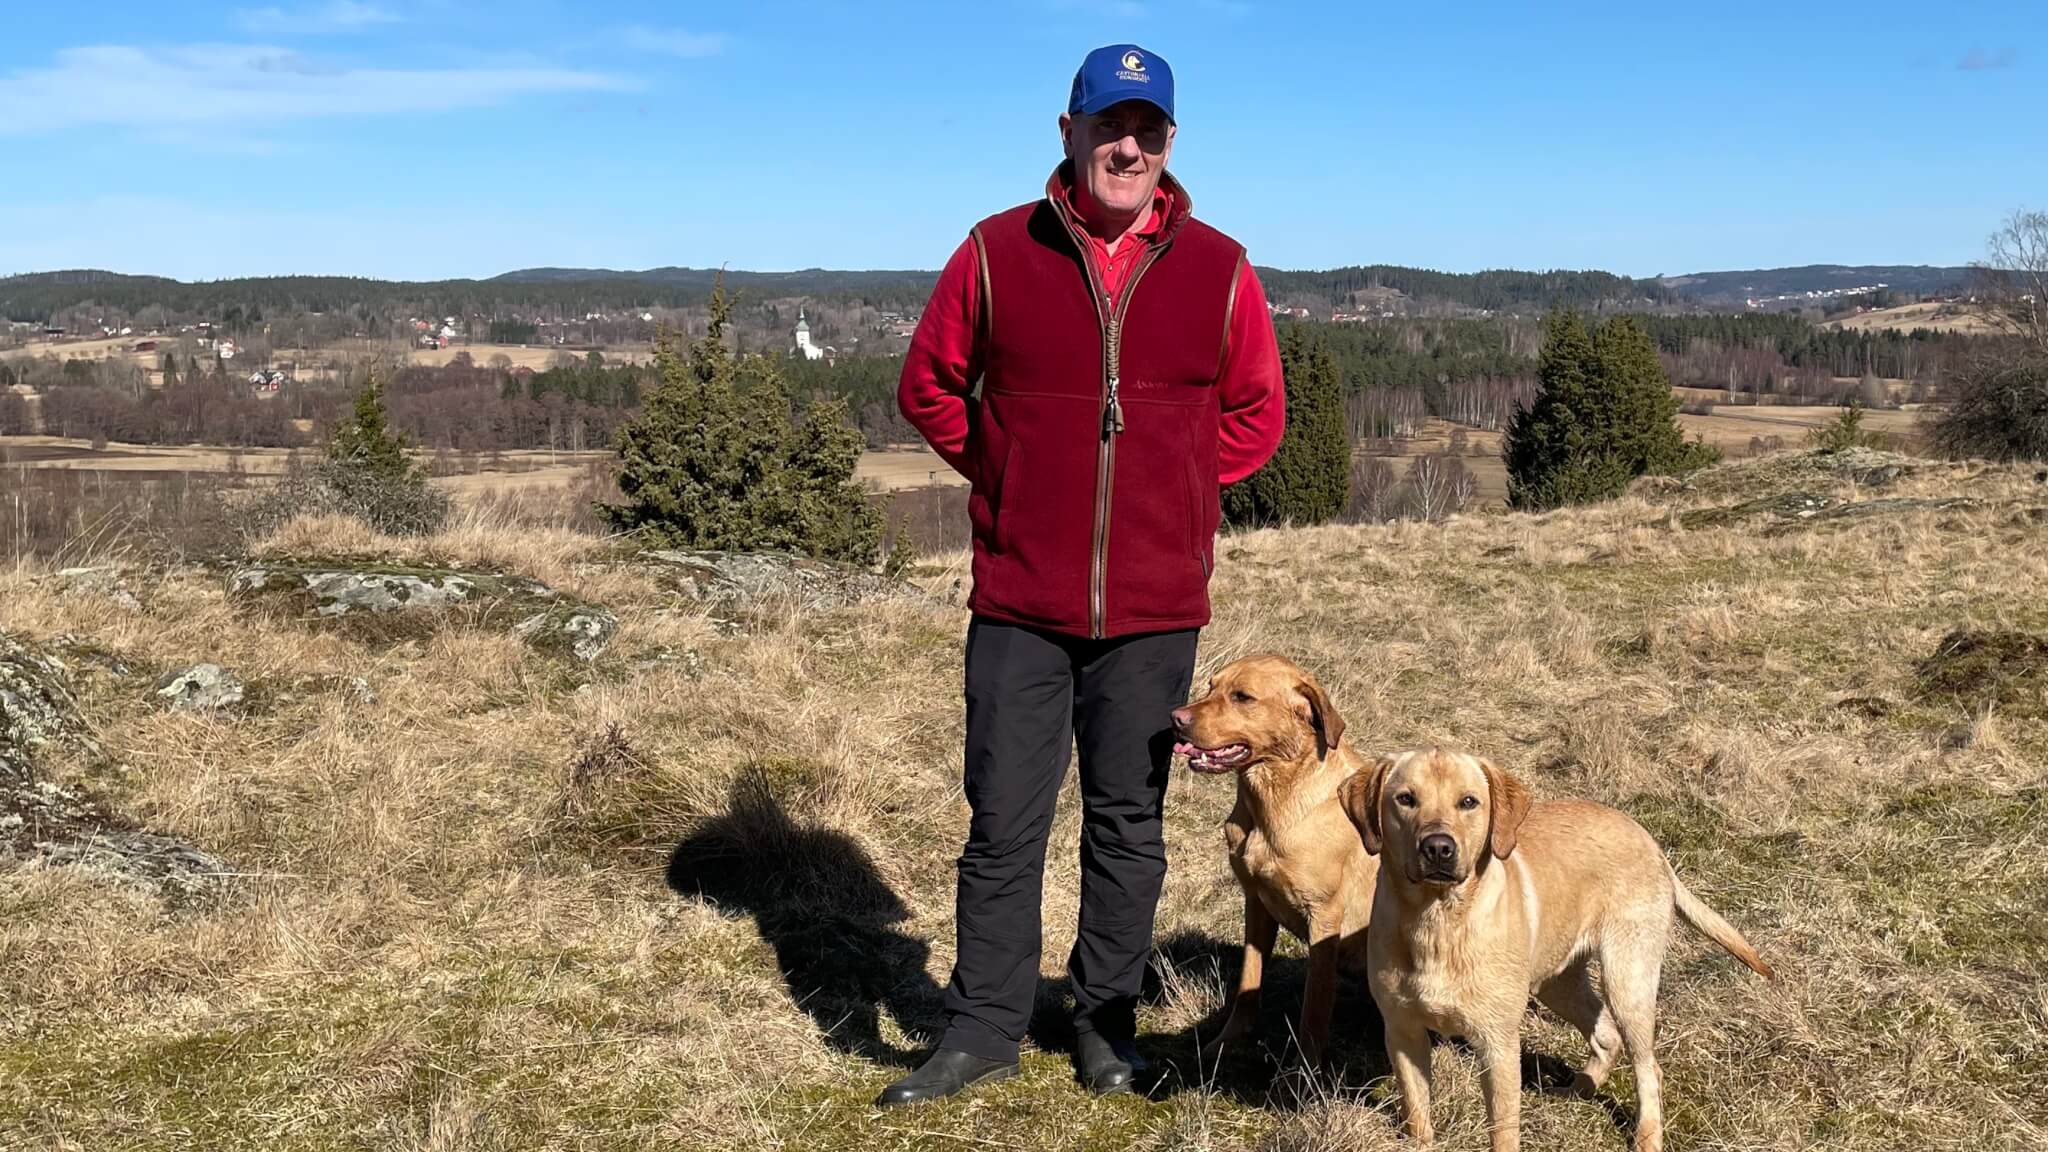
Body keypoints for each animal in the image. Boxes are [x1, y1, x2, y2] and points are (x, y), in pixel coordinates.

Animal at [1170, 654, 1379, 1069]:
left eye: (1242, 697)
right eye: (1211, 687)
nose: (1176, 718)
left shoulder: (1324, 917)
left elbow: (1314, 1006)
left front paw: (1305, 1070)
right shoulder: (1256, 903)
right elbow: (1248, 979)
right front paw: (1228, 1041)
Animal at [1339, 748, 1774, 1152]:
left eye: (1469, 802)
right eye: (1405, 799)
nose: (1438, 848)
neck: (1438, 921)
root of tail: (1649, 840)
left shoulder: (1498, 1044)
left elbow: (1503, 1132)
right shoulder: (1403, 1032)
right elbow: (1418, 1117)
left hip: (1627, 978)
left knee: (1648, 1066)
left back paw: (1647, 1136)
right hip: (1556, 982)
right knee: (1606, 1035)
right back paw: (1577, 1090)